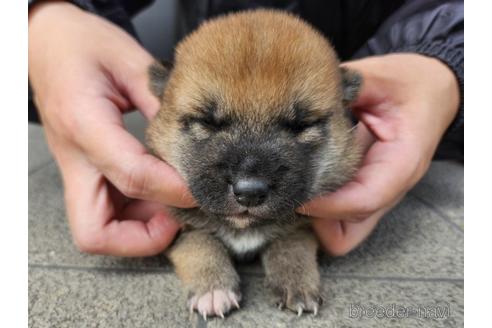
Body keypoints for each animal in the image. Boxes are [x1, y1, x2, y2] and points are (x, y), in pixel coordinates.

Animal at [146, 9, 362, 318]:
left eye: (302, 126)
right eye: (206, 122)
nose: (249, 192)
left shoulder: (304, 225)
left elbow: (292, 244)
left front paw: (296, 282)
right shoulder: (177, 226)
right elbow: (201, 243)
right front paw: (213, 288)